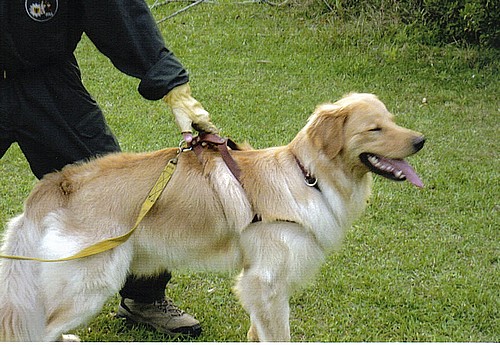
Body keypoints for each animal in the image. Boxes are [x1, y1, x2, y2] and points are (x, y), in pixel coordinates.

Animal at [0, 92, 424, 340]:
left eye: (392, 119)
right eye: (374, 128)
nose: (421, 140)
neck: (308, 176)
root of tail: (60, 183)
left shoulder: (263, 285)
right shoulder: (265, 281)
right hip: (91, 282)